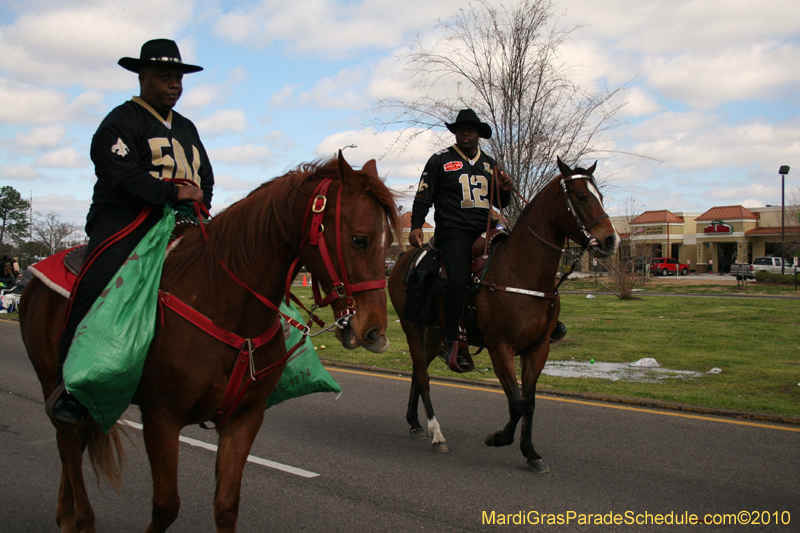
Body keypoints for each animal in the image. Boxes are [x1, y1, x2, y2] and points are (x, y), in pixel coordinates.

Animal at [20, 152, 400, 528]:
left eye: (387, 244)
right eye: (360, 239)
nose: (375, 332)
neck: (223, 301)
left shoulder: (244, 418)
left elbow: (227, 504)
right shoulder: (161, 417)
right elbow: (166, 506)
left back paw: (66, 513)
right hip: (52, 379)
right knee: (68, 442)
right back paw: (79, 518)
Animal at [388, 157, 620, 470]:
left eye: (601, 196)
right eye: (582, 196)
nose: (610, 240)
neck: (522, 271)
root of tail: (402, 259)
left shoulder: (538, 349)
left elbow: (529, 402)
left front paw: (531, 453)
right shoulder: (501, 347)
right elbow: (518, 402)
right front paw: (498, 438)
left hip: (435, 333)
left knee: (417, 370)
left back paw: (414, 423)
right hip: (413, 327)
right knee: (423, 377)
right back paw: (437, 434)